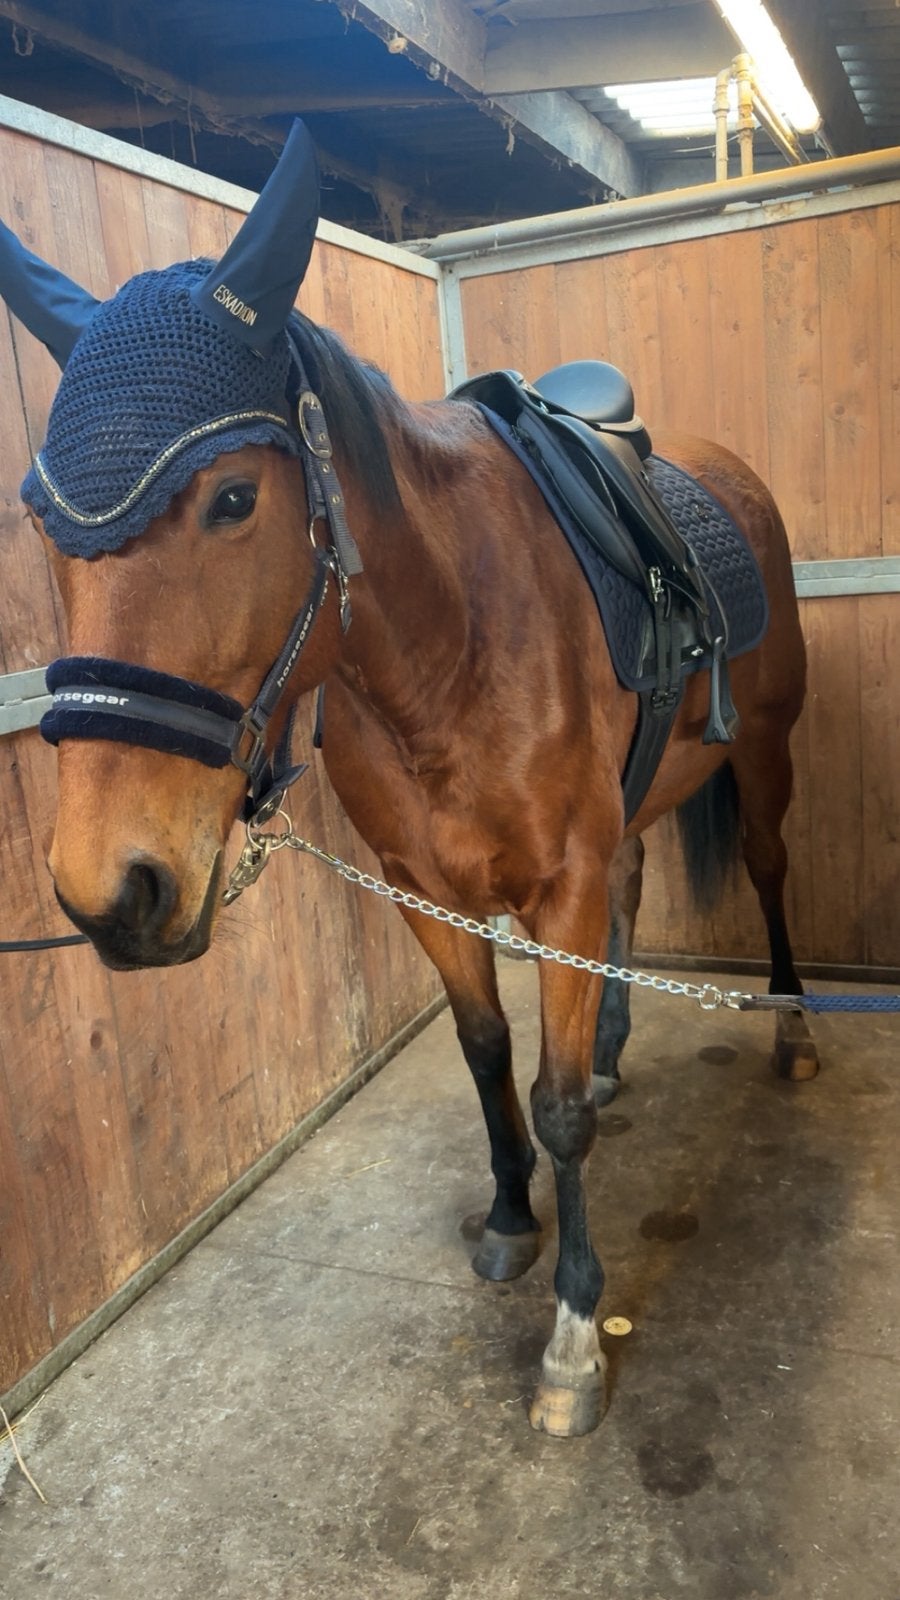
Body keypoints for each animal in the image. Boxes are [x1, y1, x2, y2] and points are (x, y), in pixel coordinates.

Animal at [1, 125, 814, 1438]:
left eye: (234, 498)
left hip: (769, 749)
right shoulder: (421, 890)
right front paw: (512, 1218)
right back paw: (621, 1041)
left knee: (770, 866)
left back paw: (791, 1029)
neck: (450, 646)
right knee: (638, 880)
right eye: (40, 522)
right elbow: (487, 1053)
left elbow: (556, 1102)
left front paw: (575, 1335)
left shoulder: (558, 886)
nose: (108, 887)